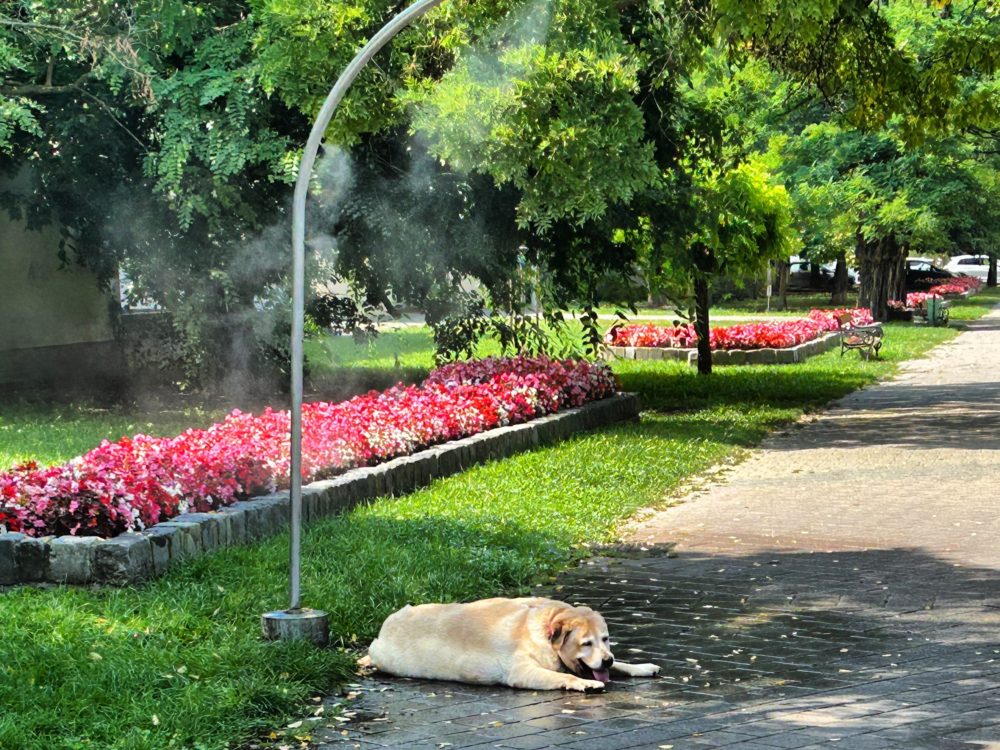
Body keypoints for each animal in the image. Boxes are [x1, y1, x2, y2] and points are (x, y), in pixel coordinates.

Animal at [362, 600, 664, 692]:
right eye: (586, 643)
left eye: (605, 639)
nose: (606, 660)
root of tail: (383, 629)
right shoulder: (522, 672)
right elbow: (564, 676)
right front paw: (585, 683)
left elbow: (624, 663)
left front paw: (640, 666)